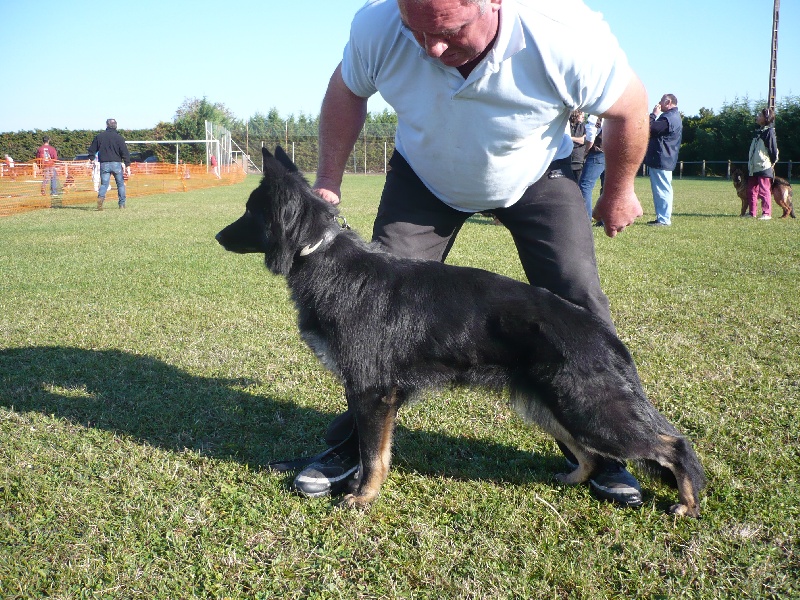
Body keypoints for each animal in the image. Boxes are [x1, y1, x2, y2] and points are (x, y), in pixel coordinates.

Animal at [217, 148, 708, 516]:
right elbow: (369, 450)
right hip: (549, 406)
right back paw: (571, 478)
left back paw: (686, 502)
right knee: (588, 454)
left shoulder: (371, 394)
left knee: (672, 444)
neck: (321, 255)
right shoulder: (368, 394)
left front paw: (362, 497)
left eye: (249, 212)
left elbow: (373, 456)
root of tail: (601, 332)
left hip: (589, 410)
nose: (218, 238)